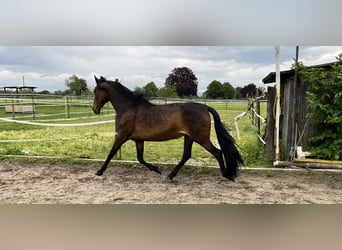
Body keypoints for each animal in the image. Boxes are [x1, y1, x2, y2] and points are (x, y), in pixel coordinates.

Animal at [92, 75, 242, 181]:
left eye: (95, 91)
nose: (94, 109)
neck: (129, 108)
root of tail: (205, 107)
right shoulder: (138, 140)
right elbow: (140, 158)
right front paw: (157, 169)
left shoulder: (121, 136)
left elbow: (111, 153)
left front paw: (99, 171)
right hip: (189, 137)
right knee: (186, 155)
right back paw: (170, 175)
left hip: (201, 138)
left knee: (217, 152)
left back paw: (226, 174)